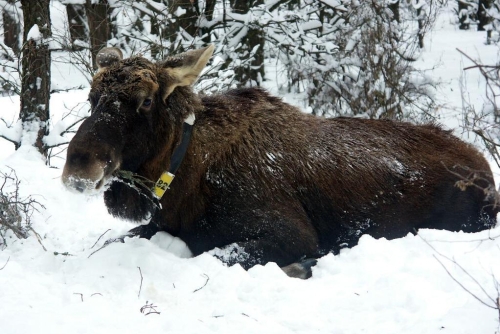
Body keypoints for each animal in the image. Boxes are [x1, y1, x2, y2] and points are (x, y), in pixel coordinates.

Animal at [62, 44, 496, 278]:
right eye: (92, 97)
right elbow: (111, 242)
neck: (185, 176)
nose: (78, 170)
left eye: (146, 101)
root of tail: (487, 173)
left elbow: (222, 255)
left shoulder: (292, 234)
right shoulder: (160, 226)